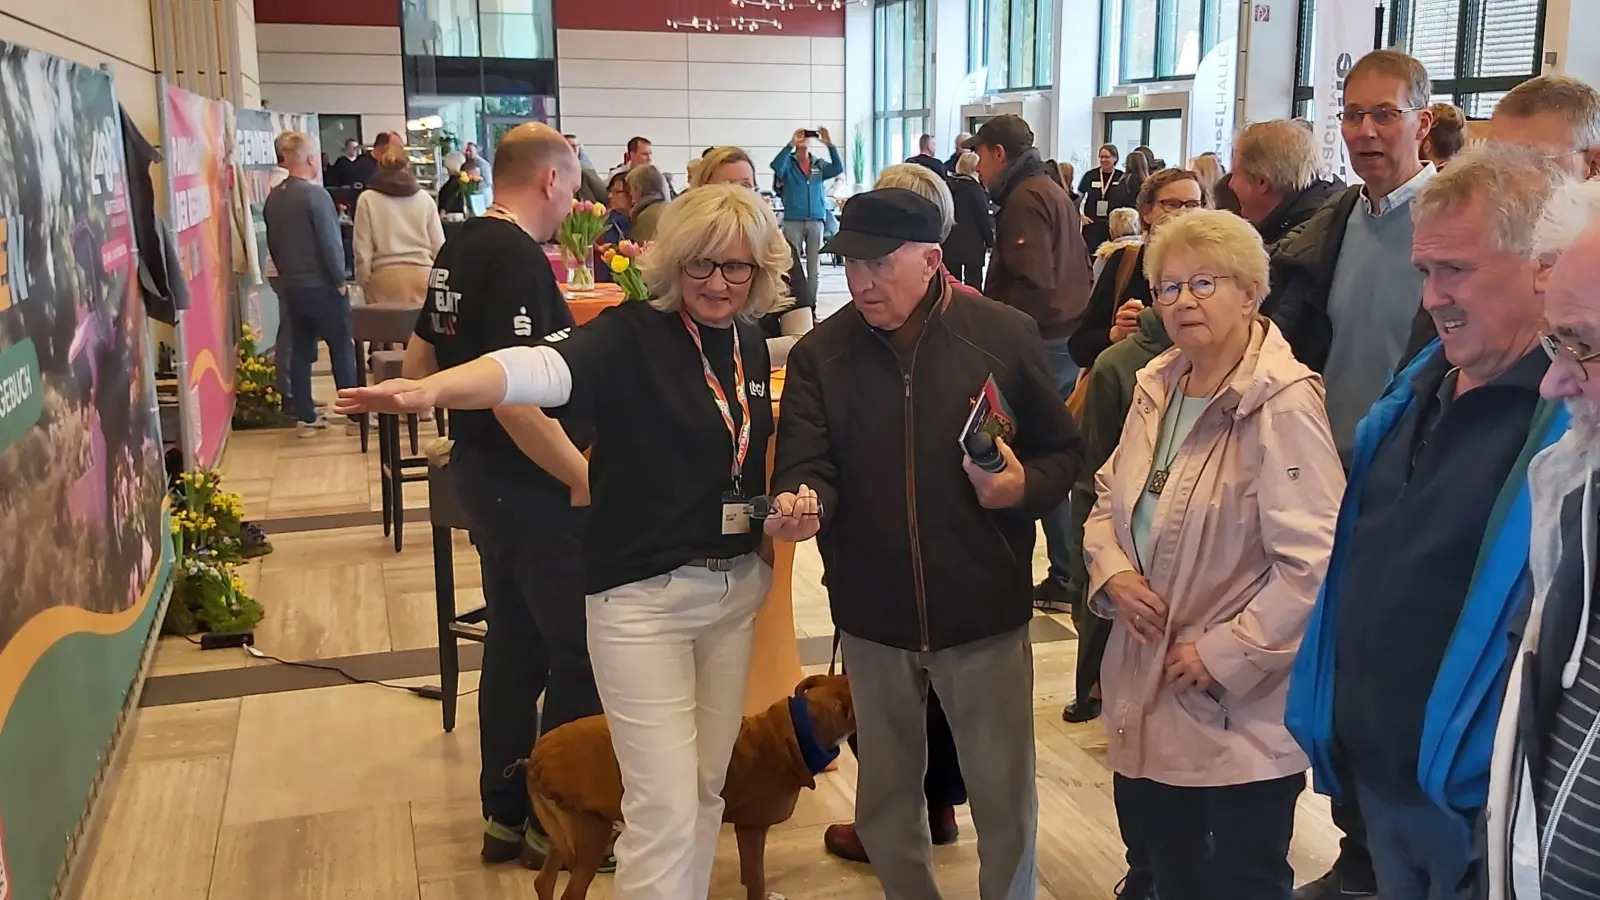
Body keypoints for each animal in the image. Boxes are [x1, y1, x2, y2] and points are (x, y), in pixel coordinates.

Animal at [525, 674, 855, 900]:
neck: (797, 732)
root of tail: (536, 758)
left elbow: (751, 876)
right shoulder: (751, 827)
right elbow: (756, 879)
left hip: (565, 834)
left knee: (543, 881)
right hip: (592, 834)